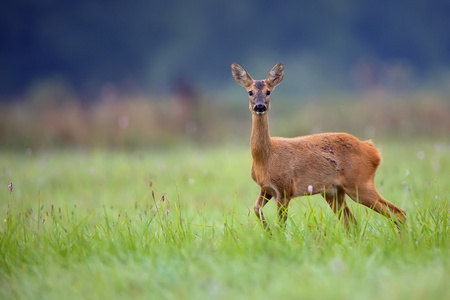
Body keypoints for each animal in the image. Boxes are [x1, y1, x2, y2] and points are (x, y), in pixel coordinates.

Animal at [230, 61, 406, 230]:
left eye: (268, 92)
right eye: (250, 92)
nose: (260, 106)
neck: (266, 157)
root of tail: (373, 150)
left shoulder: (285, 189)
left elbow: (281, 224)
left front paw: (275, 235)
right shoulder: (266, 188)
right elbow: (256, 208)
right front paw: (267, 231)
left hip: (359, 183)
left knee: (398, 213)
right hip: (334, 192)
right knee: (352, 223)